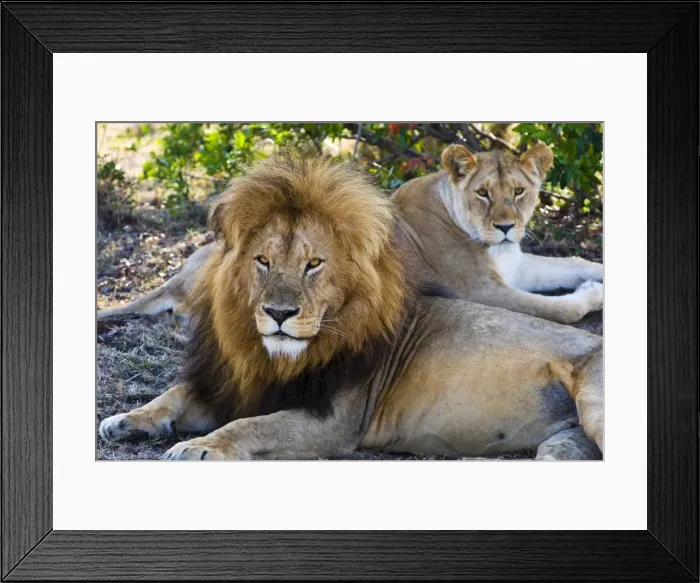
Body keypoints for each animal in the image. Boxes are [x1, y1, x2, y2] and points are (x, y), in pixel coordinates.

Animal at [391, 143, 604, 324]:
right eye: (482, 193)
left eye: (518, 191)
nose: (505, 227)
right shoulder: (478, 292)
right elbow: (563, 309)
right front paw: (594, 291)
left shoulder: (514, 265)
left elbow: (573, 262)